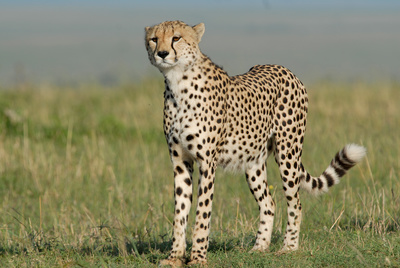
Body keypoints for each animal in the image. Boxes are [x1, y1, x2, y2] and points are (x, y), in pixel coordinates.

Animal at [145, 20, 368, 266]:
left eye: (176, 38)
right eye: (154, 39)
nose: (162, 53)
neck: (177, 82)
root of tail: (283, 68)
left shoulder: (206, 163)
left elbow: (203, 212)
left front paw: (198, 258)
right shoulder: (180, 161)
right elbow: (180, 211)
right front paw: (175, 257)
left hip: (288, 154)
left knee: (295, 203)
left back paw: (289, 247)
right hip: (253, 162)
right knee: (269, 203)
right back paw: (260, 247)